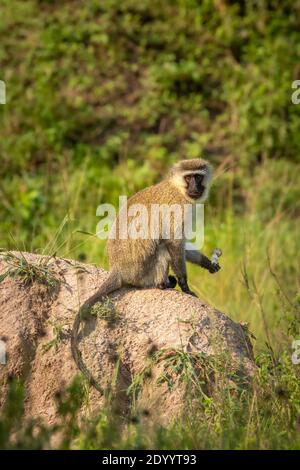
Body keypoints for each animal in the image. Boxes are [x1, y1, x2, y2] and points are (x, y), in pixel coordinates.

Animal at [70, 160, 220, 392]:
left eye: (198, 176)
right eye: (188, 177)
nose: (195, 187)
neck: (177, 189)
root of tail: (119, 269)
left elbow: (182, 245)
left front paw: (207, 263)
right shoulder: (178, 209)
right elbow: (173, 242)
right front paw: (186, 287)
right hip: (141, 269)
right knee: (162, 247)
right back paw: (162, 284)